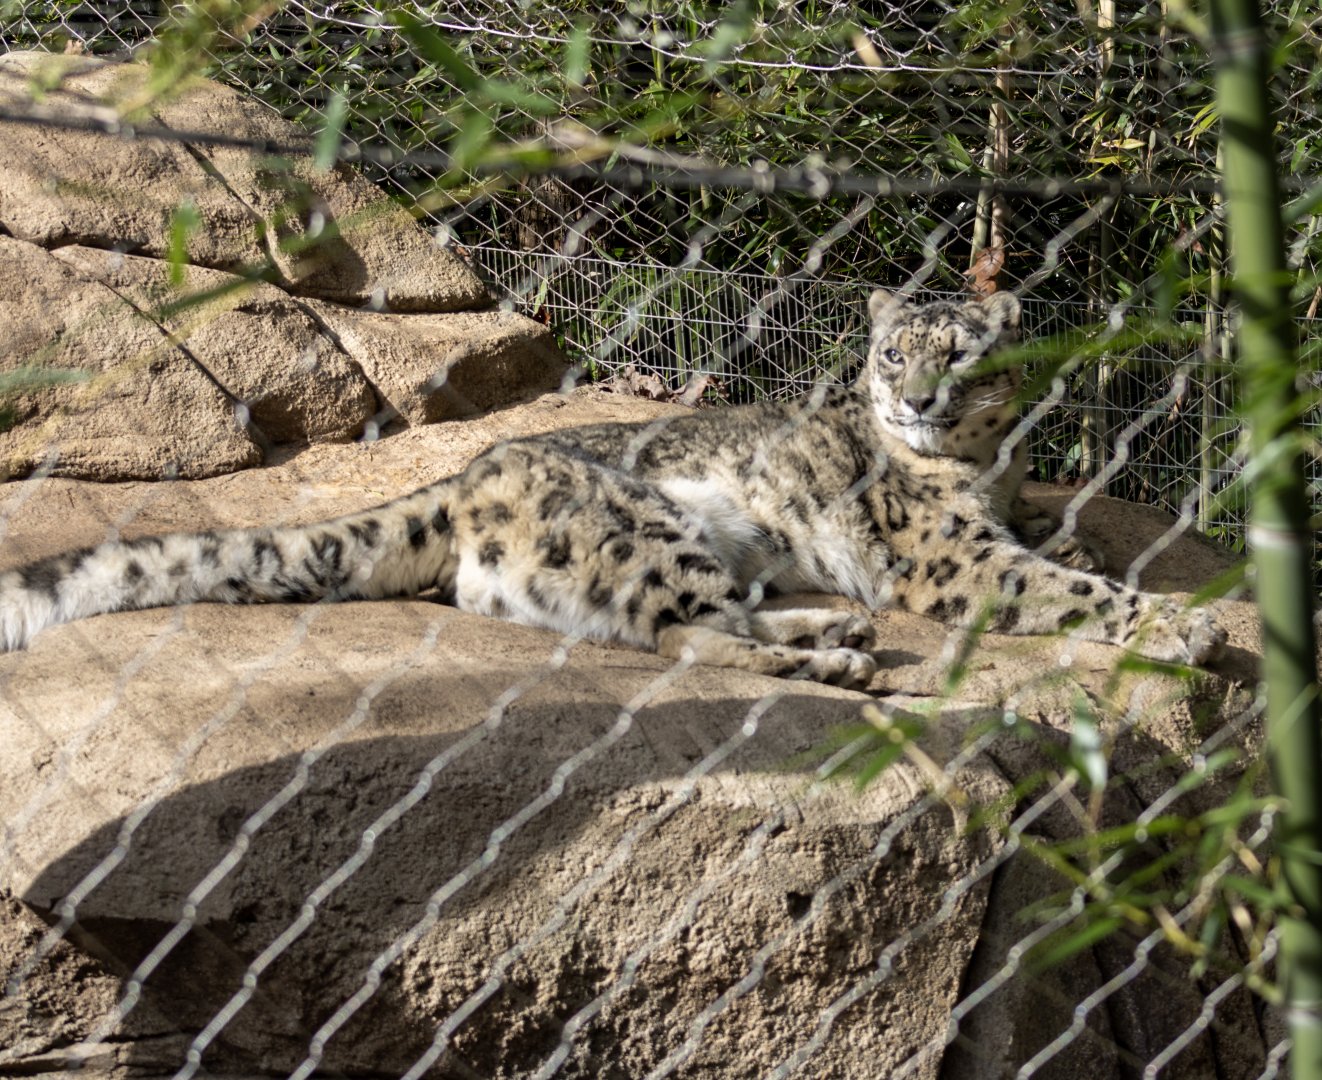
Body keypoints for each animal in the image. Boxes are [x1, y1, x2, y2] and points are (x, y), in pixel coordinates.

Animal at [0, 290, 1225, 687]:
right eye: (892, 356)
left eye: (961, 355)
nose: (917, 400)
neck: (981, 464)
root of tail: (471, 471)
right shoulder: (950, 554)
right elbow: (1060, 589)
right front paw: (1184, 626)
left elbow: (1056, 545)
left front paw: (1081, 542)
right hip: (646, 527)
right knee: (685, 636)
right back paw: (837, 657)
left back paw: (832, 630)